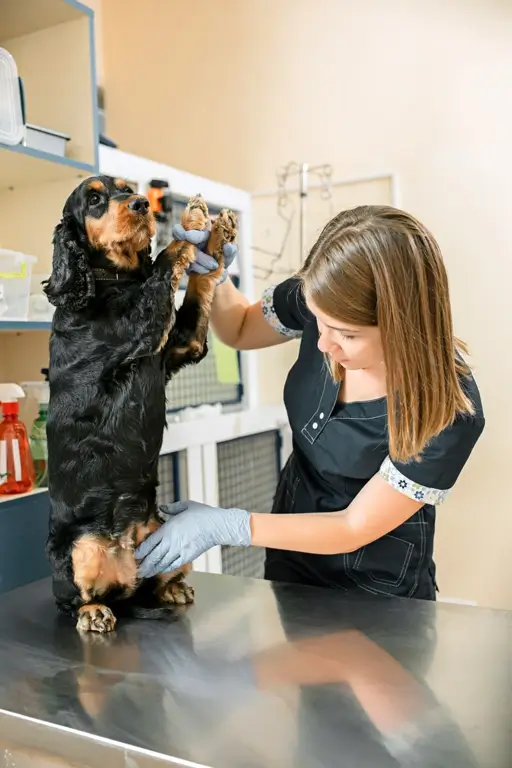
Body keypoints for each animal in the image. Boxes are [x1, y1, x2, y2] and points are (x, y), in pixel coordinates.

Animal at [44, 175, 237, 633]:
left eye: (128, 188)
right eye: (94, 199)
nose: (140, 205)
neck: (111, 281)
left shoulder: (182, 341)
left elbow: (198, 287)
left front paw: (211, 232)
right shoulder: (143, 325)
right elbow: (166, 261)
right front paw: (189, 227)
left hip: (165, 531)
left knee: (155, 581)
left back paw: (172, 588)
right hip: (77, 549)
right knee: (71, 598)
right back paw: (93, 612)